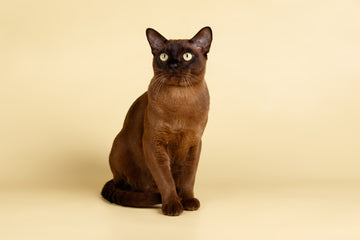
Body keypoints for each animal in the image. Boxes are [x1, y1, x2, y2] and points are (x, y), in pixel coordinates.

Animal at [101, 26, 212, 216]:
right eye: (164, 56)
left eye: (187, 56)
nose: (173, 64)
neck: (180, 100)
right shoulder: (154, 144)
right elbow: (165, 180)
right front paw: (173, 206)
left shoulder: (194, 144)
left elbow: (189, 178)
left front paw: (188, 201)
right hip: (120, 147)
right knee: (134, 186)